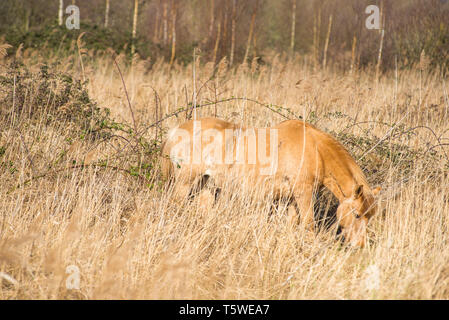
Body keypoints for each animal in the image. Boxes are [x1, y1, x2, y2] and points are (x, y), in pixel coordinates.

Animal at [160, 117, 378, 248]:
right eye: (357, 215)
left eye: (370, 217)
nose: (360, 246)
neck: (315, 149)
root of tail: (178, 130)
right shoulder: (304, 195)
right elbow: (309, 225)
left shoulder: (291, 200)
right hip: (185, 183)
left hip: (206, 185)